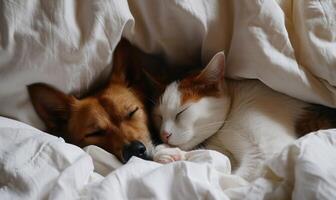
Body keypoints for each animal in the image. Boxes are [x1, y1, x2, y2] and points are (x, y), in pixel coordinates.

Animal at [153, 52, 336, 181]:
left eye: (182, 112)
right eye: (159, 116)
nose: (164, 134)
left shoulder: (265, 154)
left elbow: (224, 175)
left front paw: (172, 155)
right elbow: (218, 156)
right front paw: (169, 154)